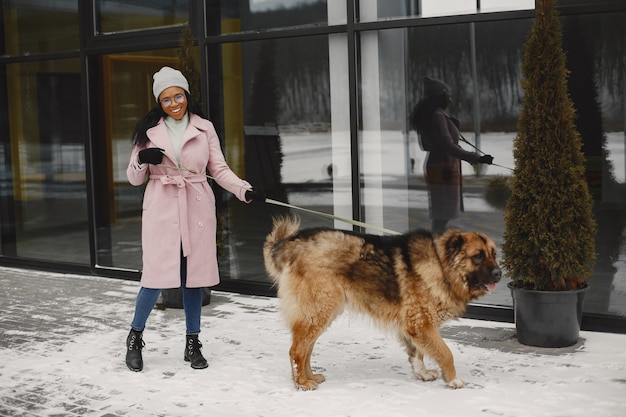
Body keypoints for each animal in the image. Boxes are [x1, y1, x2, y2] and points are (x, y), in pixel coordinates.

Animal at [260, 216, 500, 388]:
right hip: (318, 310)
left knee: (306, 349)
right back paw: (302, 383)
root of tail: (291, 242)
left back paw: (311, 377)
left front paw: (421, 373)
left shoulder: (414, 325)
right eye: (478, 256)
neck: (441, 265)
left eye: (494, 254)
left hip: (320, 313)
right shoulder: (422, 324)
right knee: (296, 351)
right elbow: (446, 353)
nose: (499, 274)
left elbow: (418, 353)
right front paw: (453, 379)